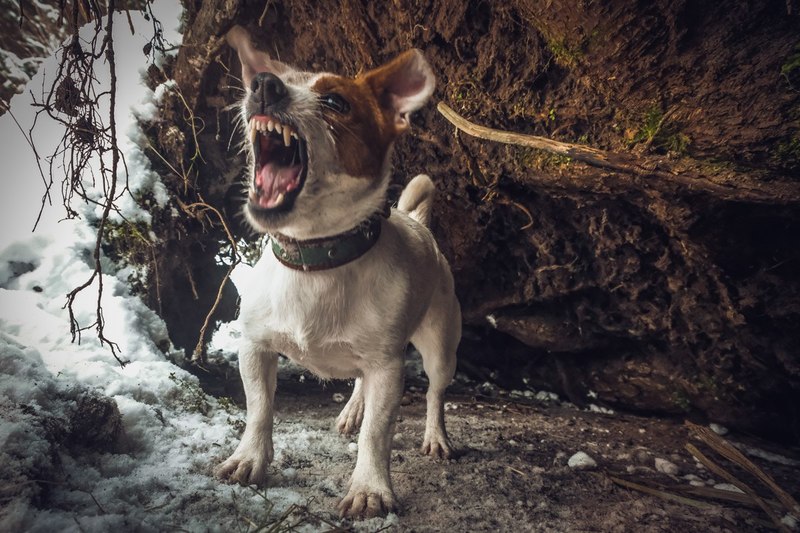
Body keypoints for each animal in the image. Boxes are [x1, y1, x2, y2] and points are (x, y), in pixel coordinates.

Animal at [217, 27, 462, 516]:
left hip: (440, 348)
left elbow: (378, 434)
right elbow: (259, 410)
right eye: (269, 78)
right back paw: (352, 410)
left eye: (335, 102)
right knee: (359, 383)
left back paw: (435, 436)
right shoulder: (254, 347)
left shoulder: (388, 368)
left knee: (434, 394)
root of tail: (419, 224)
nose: (263, 85)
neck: (317, 259)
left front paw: (370, 489)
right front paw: (249, 458)